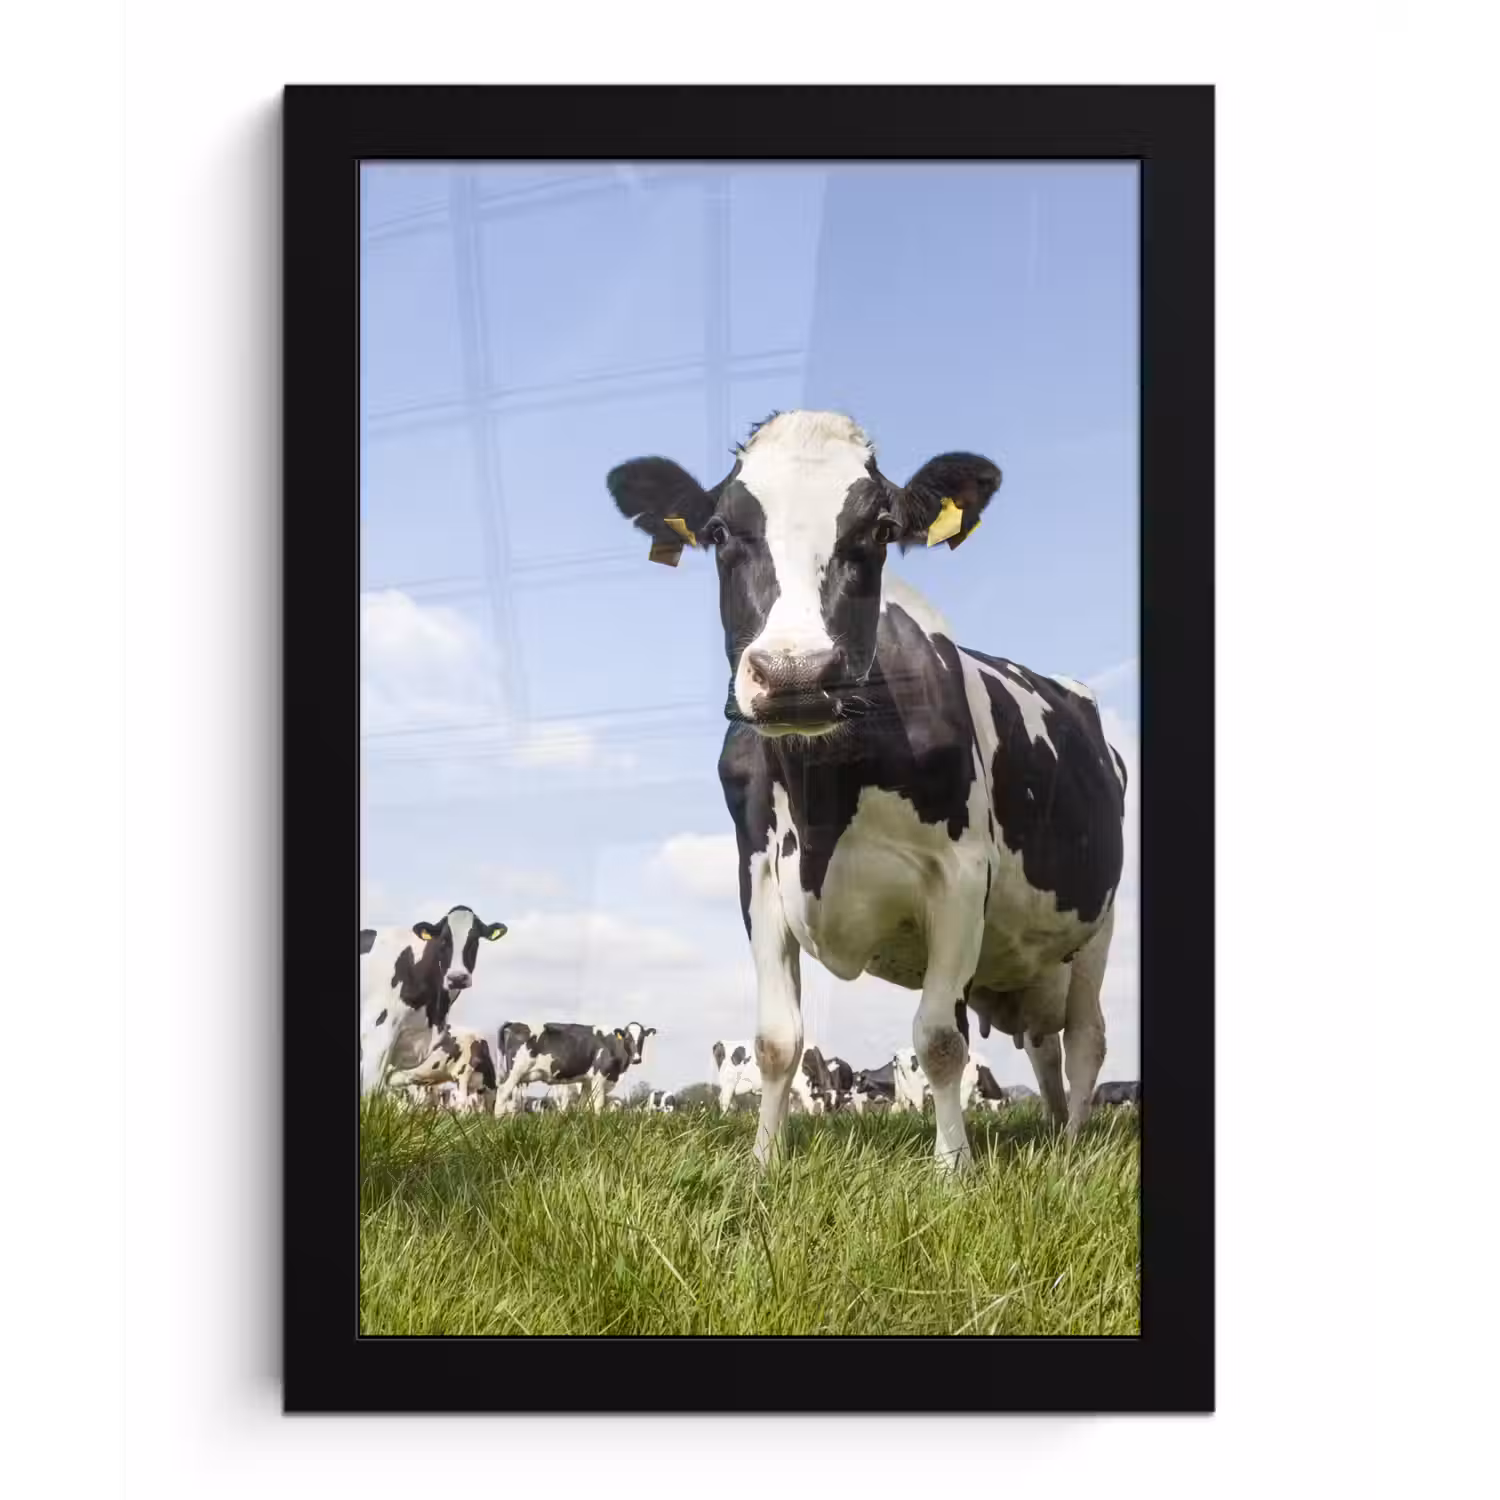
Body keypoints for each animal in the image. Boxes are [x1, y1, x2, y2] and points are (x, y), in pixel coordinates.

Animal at [492, 1021, 656, 1116]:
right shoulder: (599, 1077)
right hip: (516, 1071)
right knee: (502, 1092)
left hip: (519, 1078)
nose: (637, 1059)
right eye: (627, 1038)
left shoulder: (587, 1081)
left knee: (513, 1103)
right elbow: (598, 1105)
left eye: (642, 1038)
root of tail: (515, 1024)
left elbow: (583, 1107)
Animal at [608, 409, 1126, 1172]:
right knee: (1043, 1045)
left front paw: (954, 1166)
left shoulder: (961, 876)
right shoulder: (759, 875)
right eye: (720, 531)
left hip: (1098, 923)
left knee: (1085, 1037)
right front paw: (762, 1165)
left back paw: (1073, 1145)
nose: (795, 674)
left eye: (880, 529)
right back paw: (1056, 1129)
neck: (828, 793)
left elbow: (939, 1040)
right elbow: (776, 1040)